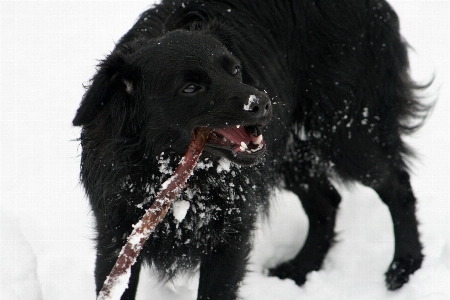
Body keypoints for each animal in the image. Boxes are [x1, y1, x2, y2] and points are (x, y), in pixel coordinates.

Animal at [73, 1, 428, 298]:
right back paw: (302, 268)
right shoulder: (116, 239)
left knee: (397, 186)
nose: (263, 103)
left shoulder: (231, 235)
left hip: (348, 132)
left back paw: (405, 266)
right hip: (291, 154)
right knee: (327, 201)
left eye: (234, 69)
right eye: (191, 88)